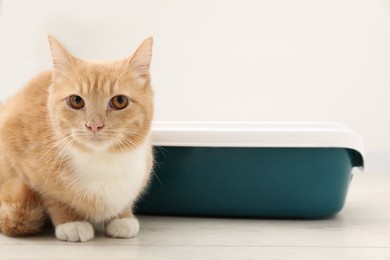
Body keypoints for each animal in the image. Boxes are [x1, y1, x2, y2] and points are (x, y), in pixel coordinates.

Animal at [0, 36, 155, 242]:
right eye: (76, 101)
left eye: (119, 101)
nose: (94, 125)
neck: (102, 161)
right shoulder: (14, 149)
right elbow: (51, 196)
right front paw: (71, 221)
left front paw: (122, 217)